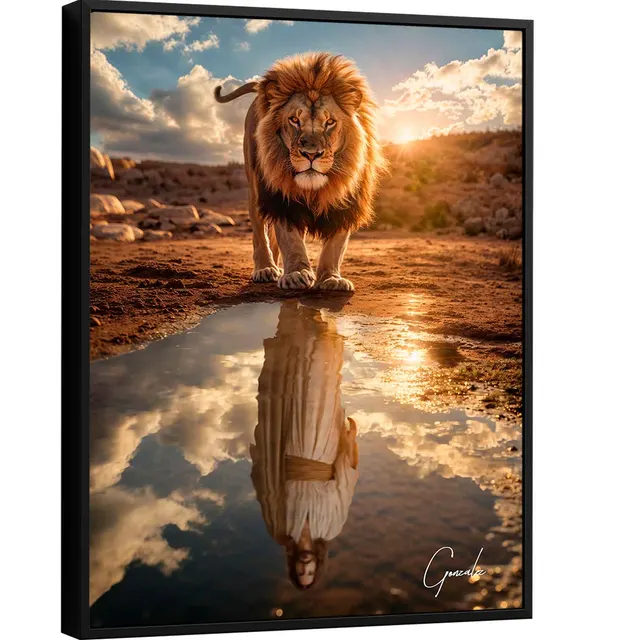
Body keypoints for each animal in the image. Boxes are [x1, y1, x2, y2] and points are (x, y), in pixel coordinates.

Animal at [214, 52, 385, 291]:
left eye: (330, 122)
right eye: (294, 120)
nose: (311, 154)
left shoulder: (347, 201)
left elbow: (335, 245)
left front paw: (331, 278)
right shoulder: (280, 196)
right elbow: (290, 239)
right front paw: (296, 273)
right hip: (256, 189)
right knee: (260, 234)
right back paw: (266, 269)